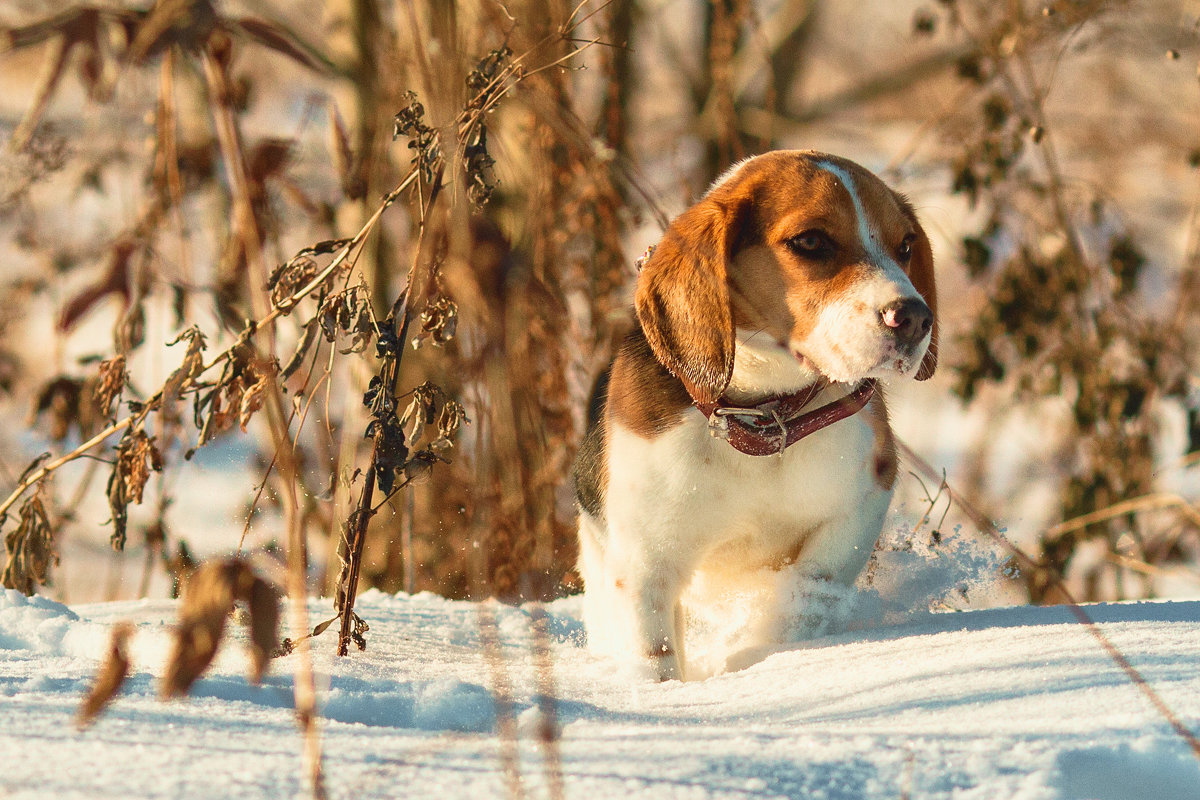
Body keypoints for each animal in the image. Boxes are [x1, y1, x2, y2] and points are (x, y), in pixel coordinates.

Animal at [571, 149, 936, 681]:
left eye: (906, 245)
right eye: (811, 241)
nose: (913, 317)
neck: (763, 415)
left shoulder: (864, 499)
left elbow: (811, 589)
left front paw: (769, 655)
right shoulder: (644, 563)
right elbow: (654, 654)